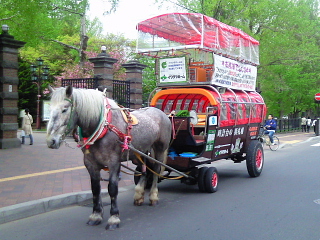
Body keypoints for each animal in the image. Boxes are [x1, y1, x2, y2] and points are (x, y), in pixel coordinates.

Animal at [46, 85, 171, 230]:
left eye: (65, 109)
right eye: (49, 108)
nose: (51, 141)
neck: (103, 126)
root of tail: (162, 113)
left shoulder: (114, 162)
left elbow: (112, 188)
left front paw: (114, 218)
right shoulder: (90, 163)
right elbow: (95, 189)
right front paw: (95, 215)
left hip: (159, 149)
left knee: (156, 170)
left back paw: (153, 197)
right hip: (141, 150)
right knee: (144, 170)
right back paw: (139, 195)